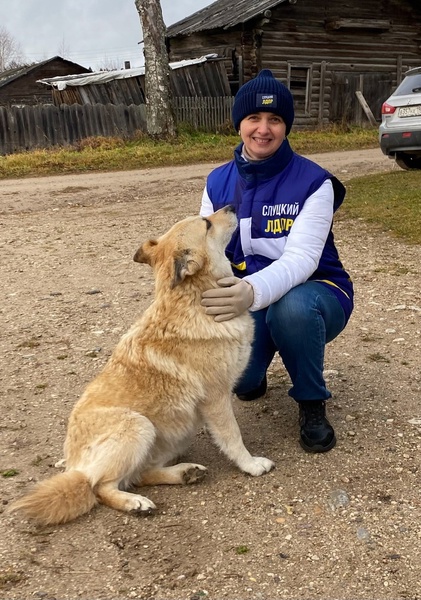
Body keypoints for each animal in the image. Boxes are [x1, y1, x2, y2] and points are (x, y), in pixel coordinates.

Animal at [9, 206, 274, 524]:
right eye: (207, 224)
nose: (233, 207)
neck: (193, 299)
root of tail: (75, 467)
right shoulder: (216, 398)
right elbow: (233, 437)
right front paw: (251, 464)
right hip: (138, 426)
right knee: (100, 487)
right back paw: (134, 503)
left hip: (172, 436)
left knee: (138, 475)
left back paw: (183, 473)